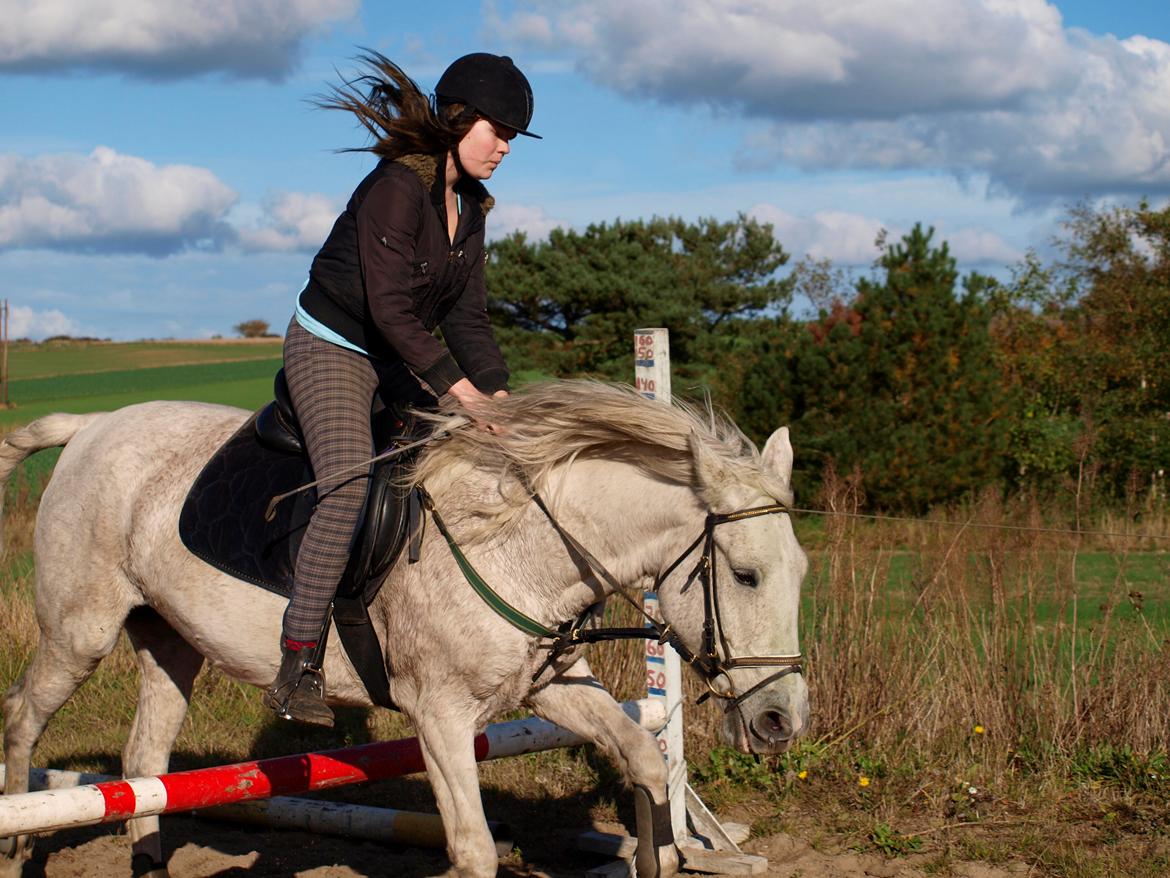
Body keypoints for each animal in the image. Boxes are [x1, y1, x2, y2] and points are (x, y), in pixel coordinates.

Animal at [0, 383, 804, 878]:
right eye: (745, 575)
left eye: (798, 570)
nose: (780, 722)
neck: (515, 540)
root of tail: (93, 426)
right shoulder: (439, 715)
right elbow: (475, 849)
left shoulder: (550, 688)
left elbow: (642, 756)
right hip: (79, 631)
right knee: (22, 719)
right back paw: (14, 846)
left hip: (169, 640)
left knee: (144, 759)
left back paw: (149, 860)